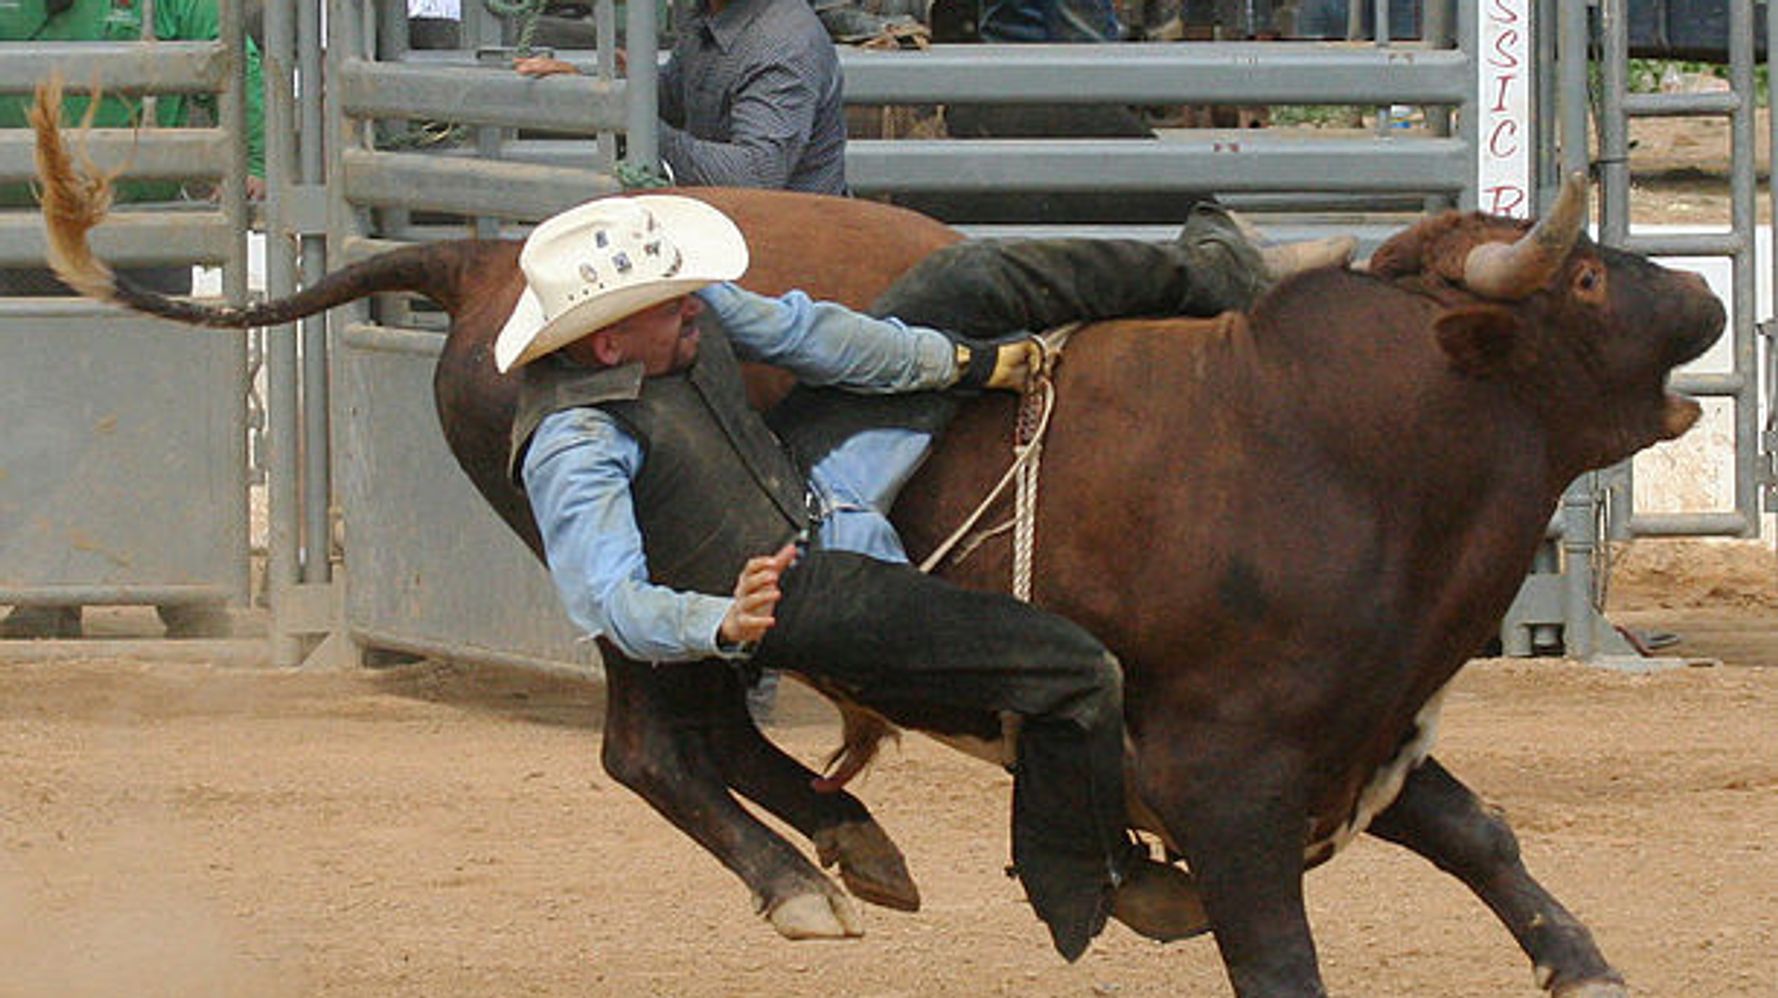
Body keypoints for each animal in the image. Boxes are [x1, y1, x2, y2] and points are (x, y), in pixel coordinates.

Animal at [31, 77, 1721, 996]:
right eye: (1584, 281)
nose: (1706, 295)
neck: (1340, 442)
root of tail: (489, 258)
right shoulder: (1234, 784)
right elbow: (1283, 945)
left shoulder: (1359, 732)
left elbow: (1478, 830)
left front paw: (1581, 956)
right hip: (615, 583)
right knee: (653, 742)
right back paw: (798, 878)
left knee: (718, 733)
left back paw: (855, 838)